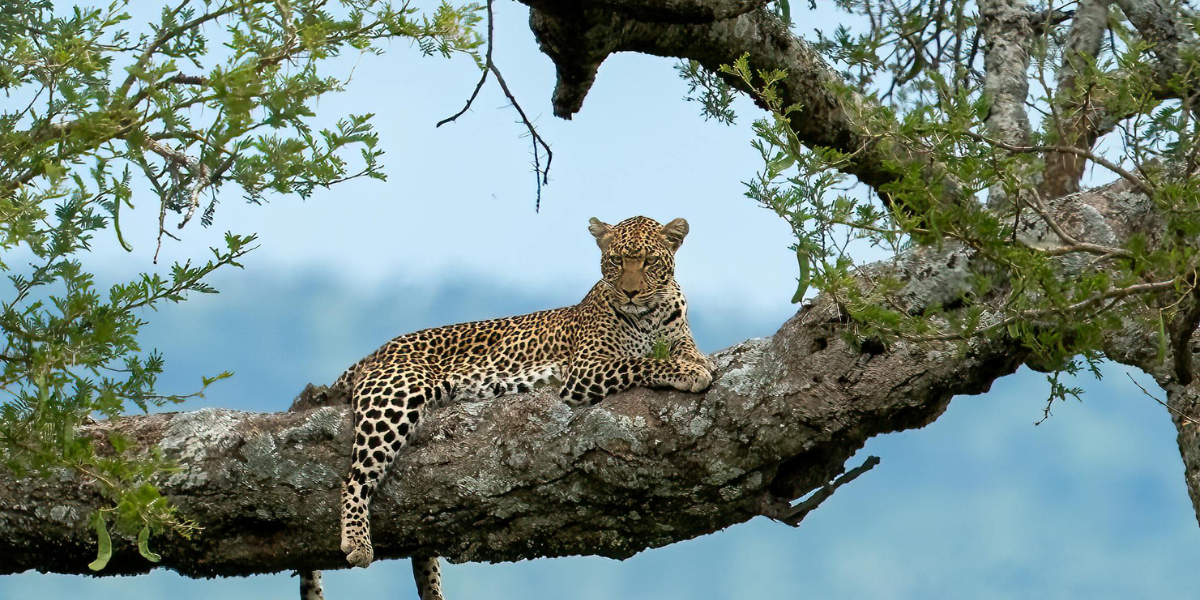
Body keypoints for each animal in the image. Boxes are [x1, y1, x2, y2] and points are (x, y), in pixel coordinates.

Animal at [334, 215, 715, 600]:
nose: (631, 293)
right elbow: (640, 362)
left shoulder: (674, 336)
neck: (651, 316)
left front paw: (698, 361)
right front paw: (688, 372)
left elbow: (683, 349)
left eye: (649, 262)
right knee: (354, 477)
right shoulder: (584, 370)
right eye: (617, 261)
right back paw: (357, 541)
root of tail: (376, 353)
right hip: (397, 394)